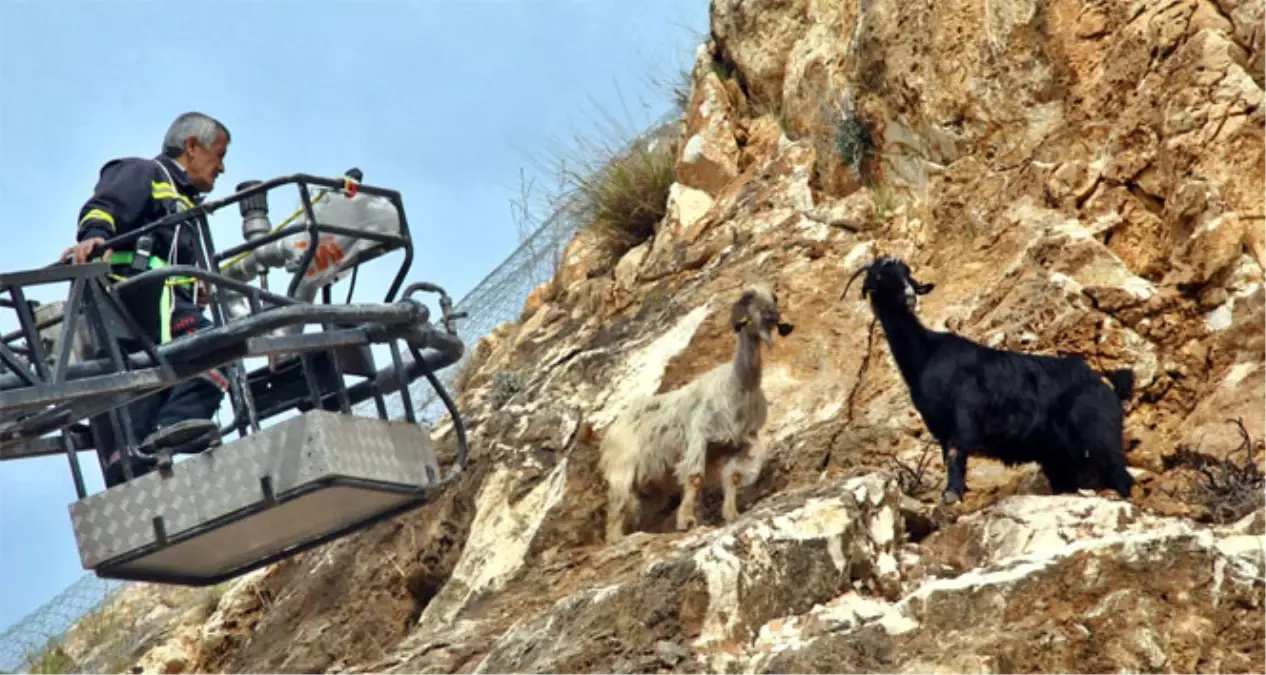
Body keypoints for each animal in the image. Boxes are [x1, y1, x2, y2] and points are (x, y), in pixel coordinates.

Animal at [600, 283, 789, 542]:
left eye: (774, 297)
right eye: (748, 298)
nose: (772, 316)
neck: (738, 386)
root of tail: (613, 428)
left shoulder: (737, 445)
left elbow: (733, 479)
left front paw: (731, 514)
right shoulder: (699, 437)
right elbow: (694, 477)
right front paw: (687, 521)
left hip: (650, 480)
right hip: (622, 467)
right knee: (618, 503)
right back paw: (617, 538)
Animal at [850, 255, 1139, 501]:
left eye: (907, 277)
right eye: (880, 277)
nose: (910, 296)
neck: (927, 353)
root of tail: (1108, 386)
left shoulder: (964, 415)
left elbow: (956, 451)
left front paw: (951, 495)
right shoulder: (940, 426)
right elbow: (949, 454)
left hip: (1101, 436)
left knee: (1123, 476)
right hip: (1059, 456)